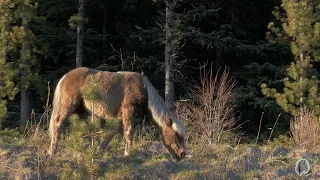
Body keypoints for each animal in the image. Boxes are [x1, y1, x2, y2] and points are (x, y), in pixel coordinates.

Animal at [48, 67, 186, 160]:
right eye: (175, 134)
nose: (182, 154)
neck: (144, 89)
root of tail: (65, 77)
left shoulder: (120, 116)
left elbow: (112, 132)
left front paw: (100, 149)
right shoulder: (128, 111)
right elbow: (128, 132)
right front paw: (127, 153)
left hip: (80, 111)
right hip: (68, 107)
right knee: (57, 124)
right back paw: (52, 151)